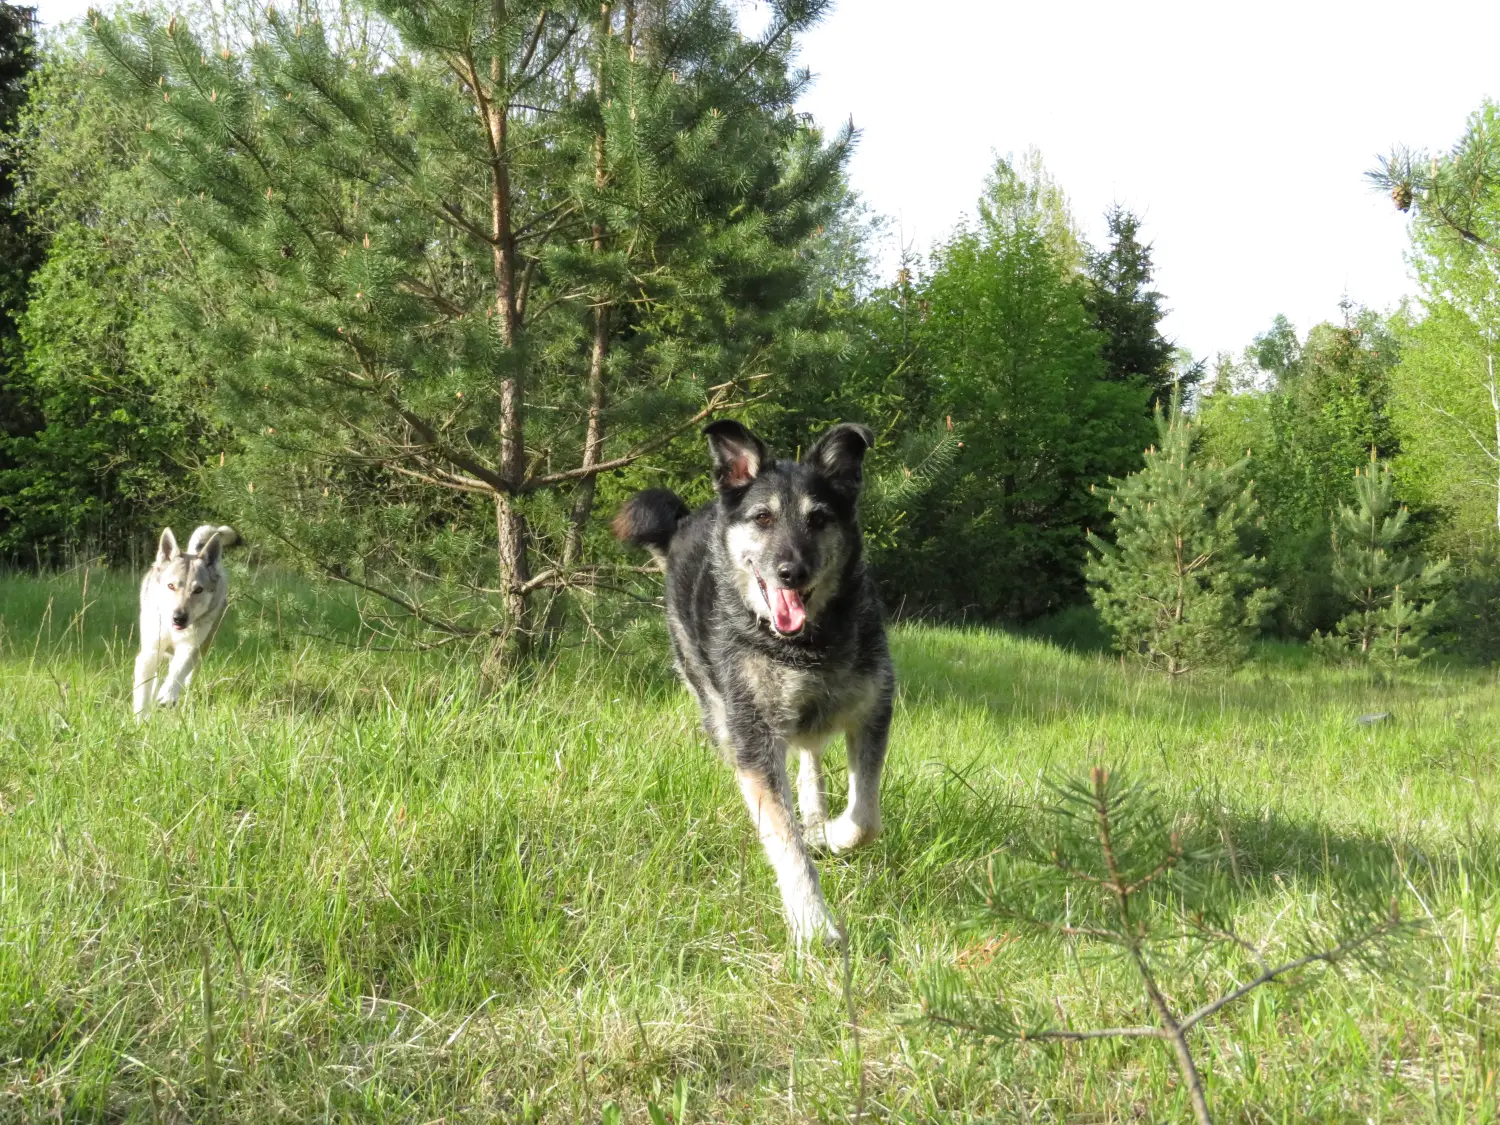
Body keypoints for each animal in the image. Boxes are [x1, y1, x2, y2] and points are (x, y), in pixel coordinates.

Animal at [133, 525, 238, 717]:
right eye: (171, 586)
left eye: (198, 590)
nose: (179, 618)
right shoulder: (150, 652)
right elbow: (143, 694)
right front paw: (142, 720)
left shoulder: (189, 647)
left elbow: (177, 672)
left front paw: (167, 696)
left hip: (201, 652)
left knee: (187, 680)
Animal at [615, 420, 894, 948]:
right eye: (762, 518)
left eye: (819, 518)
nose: (791, 572)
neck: (805, 644)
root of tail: (685, 522)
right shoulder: (754, 738)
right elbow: (783, 837)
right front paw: (814, 924)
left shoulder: (872, 709)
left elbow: (865, 819)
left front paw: (829, 834)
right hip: (715, 707)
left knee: (810, 760)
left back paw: (816, 815)